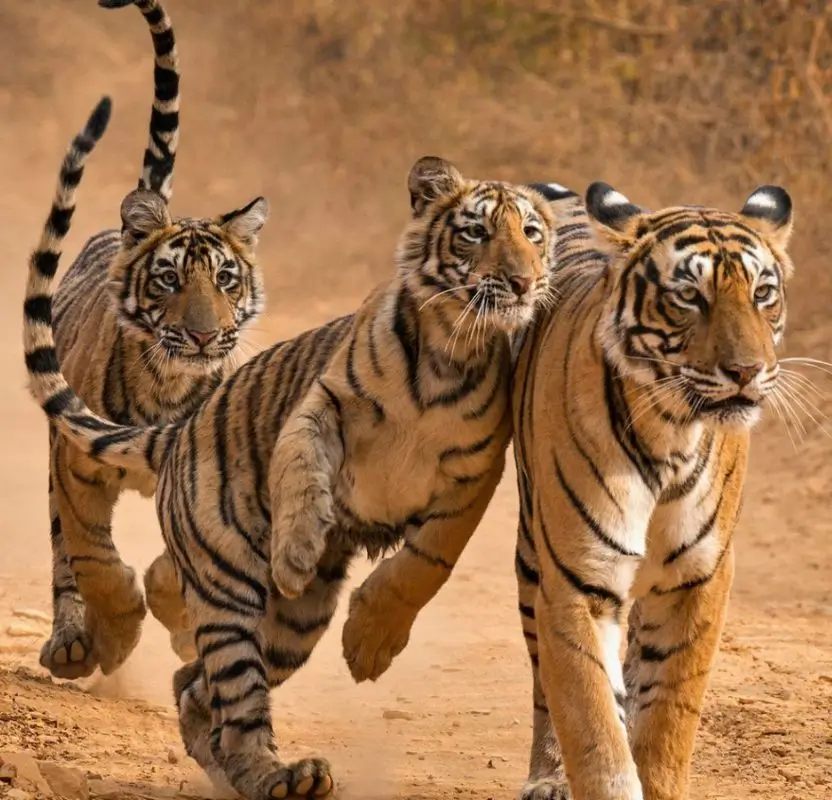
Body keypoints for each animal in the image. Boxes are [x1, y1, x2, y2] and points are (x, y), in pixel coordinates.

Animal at [24, 95, 559, 800]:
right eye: (476, 233)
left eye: (533, 233)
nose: (522, 282)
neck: (449, 348)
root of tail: (177, 433)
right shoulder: (322, 402)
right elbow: (301, 465)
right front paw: (298, 548)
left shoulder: (476, 474)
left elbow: (427, 561)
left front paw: (370, 643)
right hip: (227, 589)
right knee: (228, 689)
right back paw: (275, 772)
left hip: (292, 626)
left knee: (197, 689)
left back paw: (263, 772)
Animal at [36, 0, 270, 683]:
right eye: (170, 279)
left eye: (225, 279)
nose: (204, 334)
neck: (169, 383)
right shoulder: (75, 463)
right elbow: (94, 560)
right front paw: (114, 637)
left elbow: (180, 565)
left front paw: (179, 622)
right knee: (64, 556)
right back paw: (72, 643)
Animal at [500, 180, 793, 799]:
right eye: (689, 297)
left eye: (762, 294)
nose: (747, 371)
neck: (671, 436)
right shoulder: (576, 580)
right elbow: (593, 727)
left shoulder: (697, 579)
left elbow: (665, 719)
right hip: (533, 558)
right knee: (546, 684)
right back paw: (547, 777)